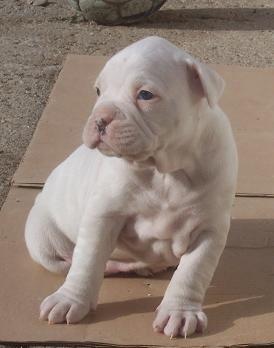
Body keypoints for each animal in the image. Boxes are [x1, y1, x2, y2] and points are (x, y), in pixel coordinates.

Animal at [24, 36, 238, 338]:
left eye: (145, 95)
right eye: (98, 91)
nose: (100, 119)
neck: (164, 170)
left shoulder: (210, 228)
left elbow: (192, 272)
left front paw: (180, 312)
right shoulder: (103, 215)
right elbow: (87, 261)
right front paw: (70, 300)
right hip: (41, 239)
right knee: (67, 261)